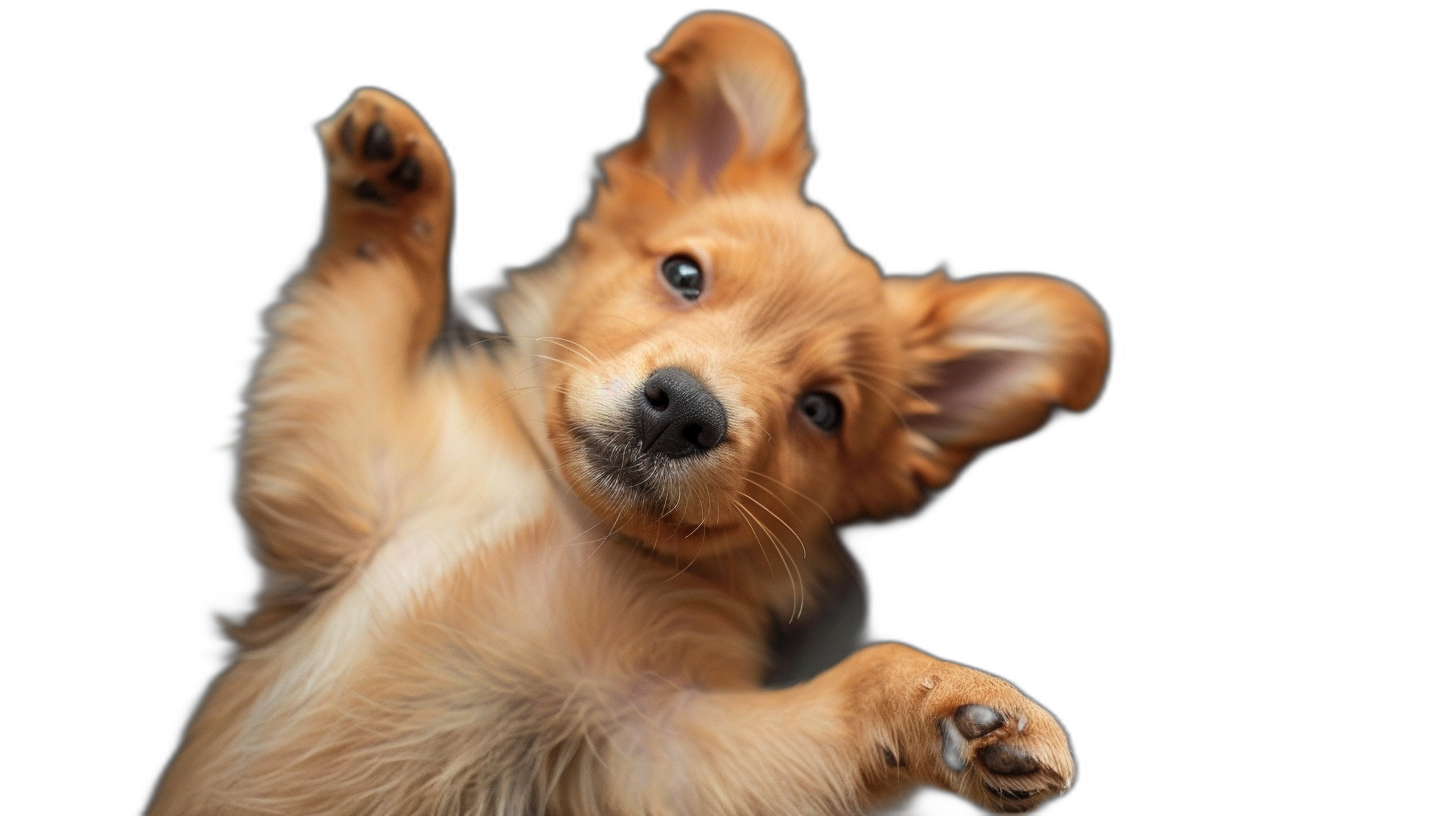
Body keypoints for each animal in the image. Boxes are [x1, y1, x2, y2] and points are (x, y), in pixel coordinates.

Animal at [147, 12, 1106, 816]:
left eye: (823, 410)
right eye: (683, 274)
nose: (683, 413)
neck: (575, 523)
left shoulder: (657, 747)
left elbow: (860, 677)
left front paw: (961, 704)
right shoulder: (345, 477)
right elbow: (373, 288)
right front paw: (397, 188)